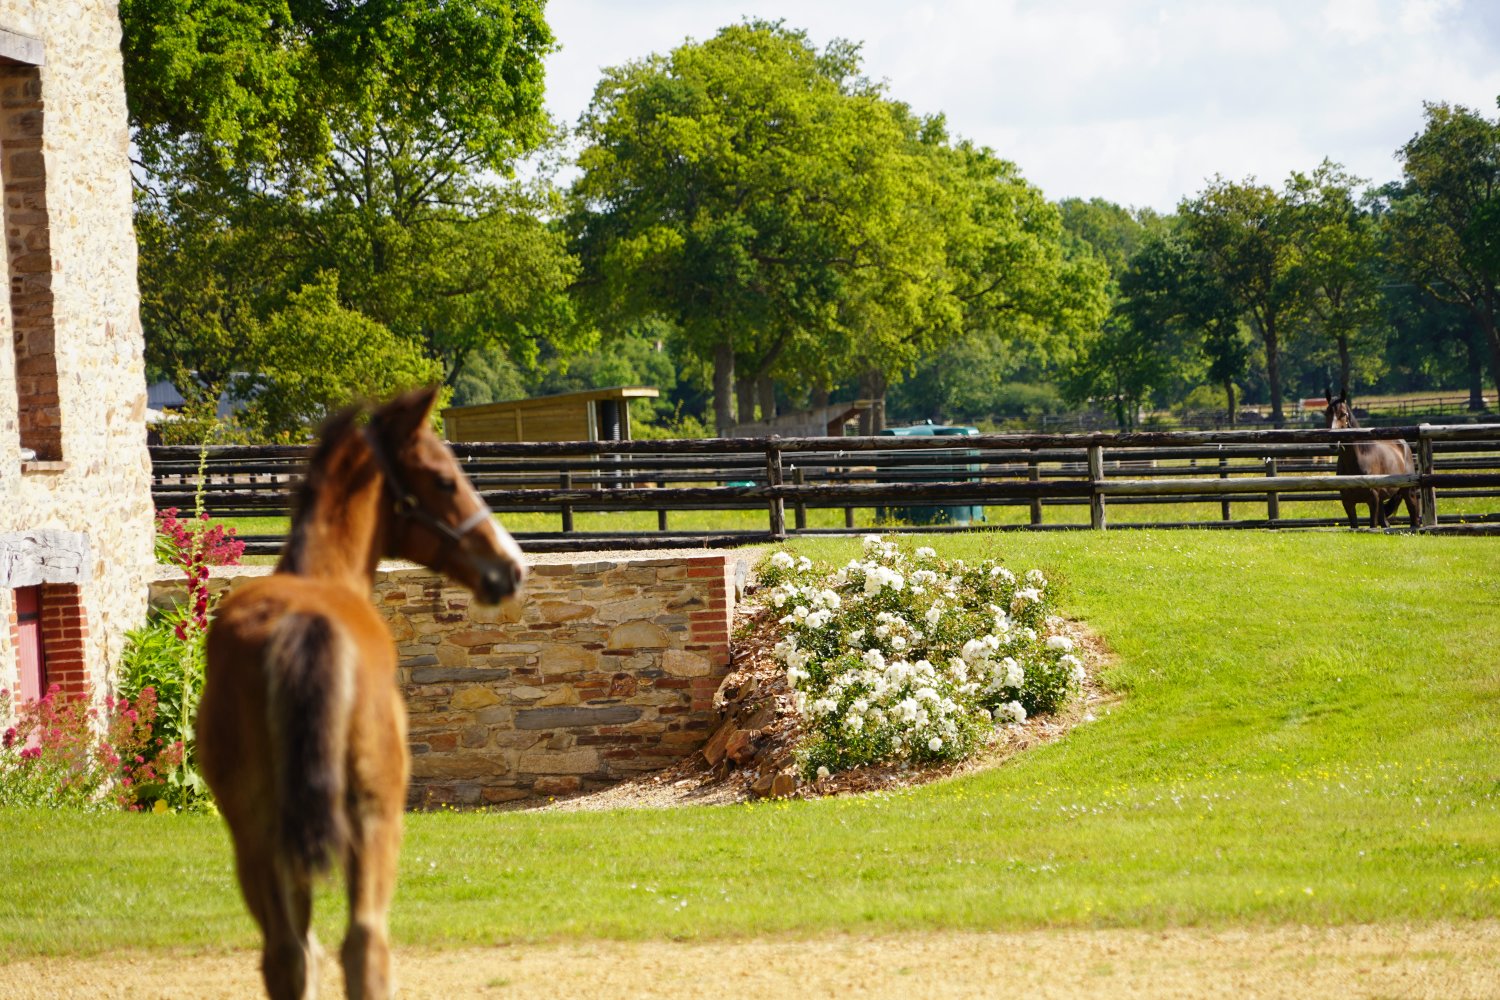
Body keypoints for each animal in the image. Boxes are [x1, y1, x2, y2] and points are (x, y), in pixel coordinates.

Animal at [197, 387, 526, 1000]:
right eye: (444, 479)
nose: (511, 567)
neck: (323, 574)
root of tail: (305, 622)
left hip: (256, 829)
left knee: (287, 953)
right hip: (377, 816)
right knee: (365, 944)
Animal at [1323, 395, 1420, 529]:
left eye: (1343, 414)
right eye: (1326, 413)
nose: (1332, 440)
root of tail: (1403, 445)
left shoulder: (1372, 500)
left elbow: (1372, 525)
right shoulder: (1348, 503)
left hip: (1408, 492)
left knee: (1413, 515)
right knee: (1385, 523)